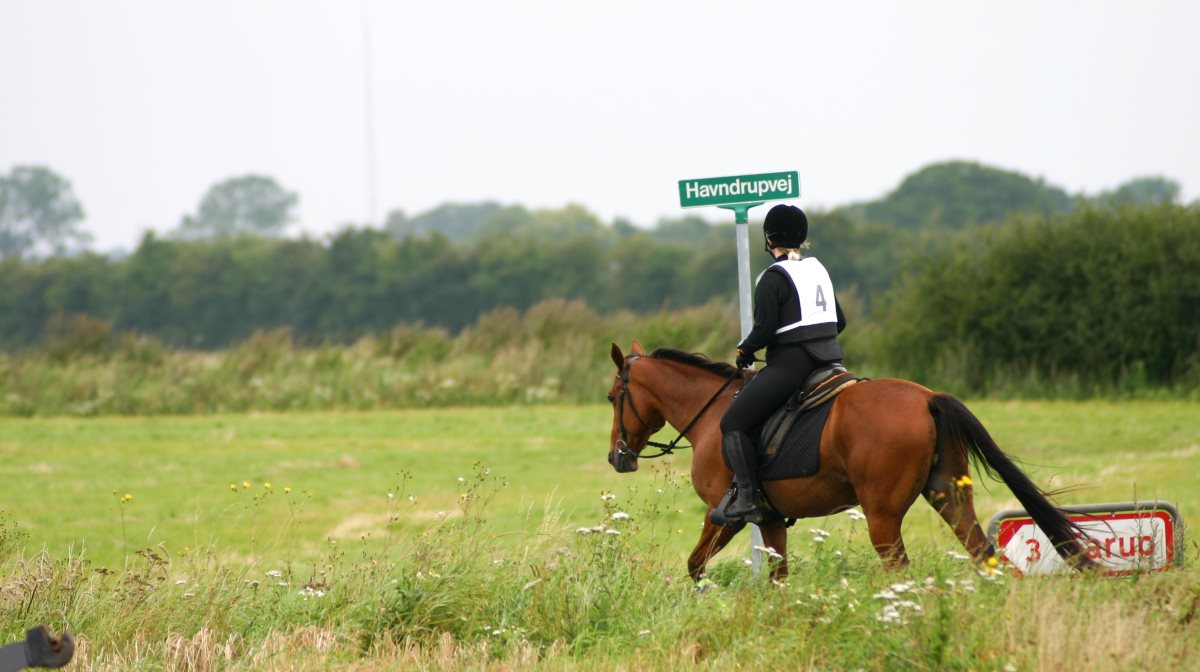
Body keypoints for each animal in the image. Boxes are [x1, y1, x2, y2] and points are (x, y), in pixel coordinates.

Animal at [604, 340, 1094, 583]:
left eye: (612, 397)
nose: (616, 457)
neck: (710, 413)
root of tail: (927, 397)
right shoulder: (772, 520)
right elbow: (779, 577)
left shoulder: (723, 516)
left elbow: (695, 565)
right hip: (948, 498)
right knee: (985, 556)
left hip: (882, 516)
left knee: (901, 570)